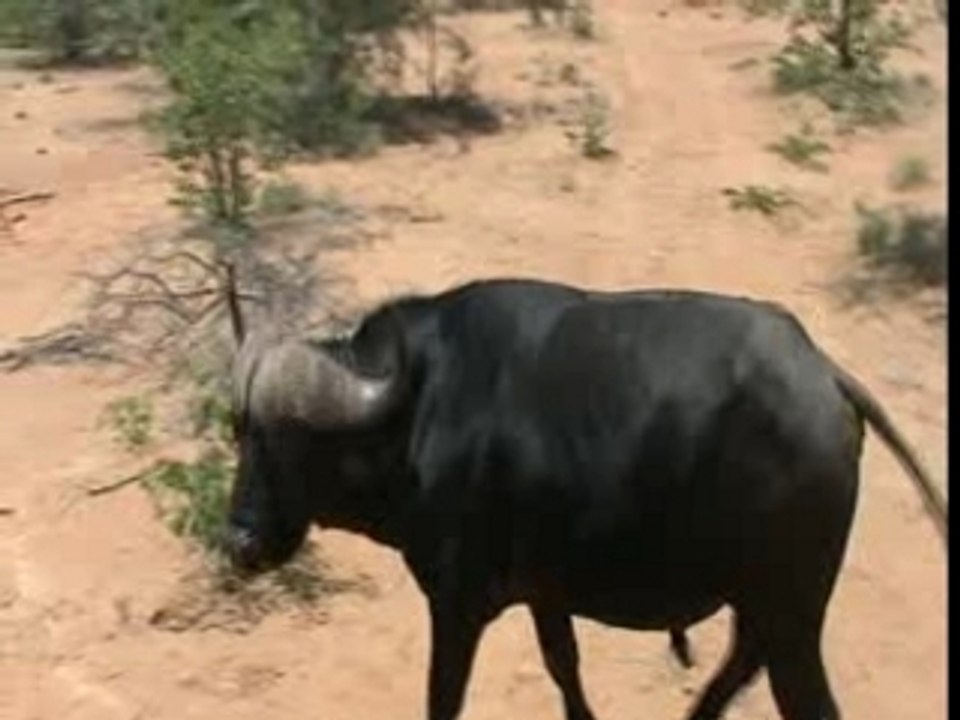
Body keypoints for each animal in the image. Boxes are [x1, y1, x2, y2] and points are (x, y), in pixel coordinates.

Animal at [223, 277, 946, 720]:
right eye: (239, 432)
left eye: (289, 442)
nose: (239, 542)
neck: (416, 410)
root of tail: (824, 376)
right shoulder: (546, 593)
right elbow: (562, 666)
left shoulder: (455, 606)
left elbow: (443, 698)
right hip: (766, 607)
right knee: (741, 662)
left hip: (793, 614)